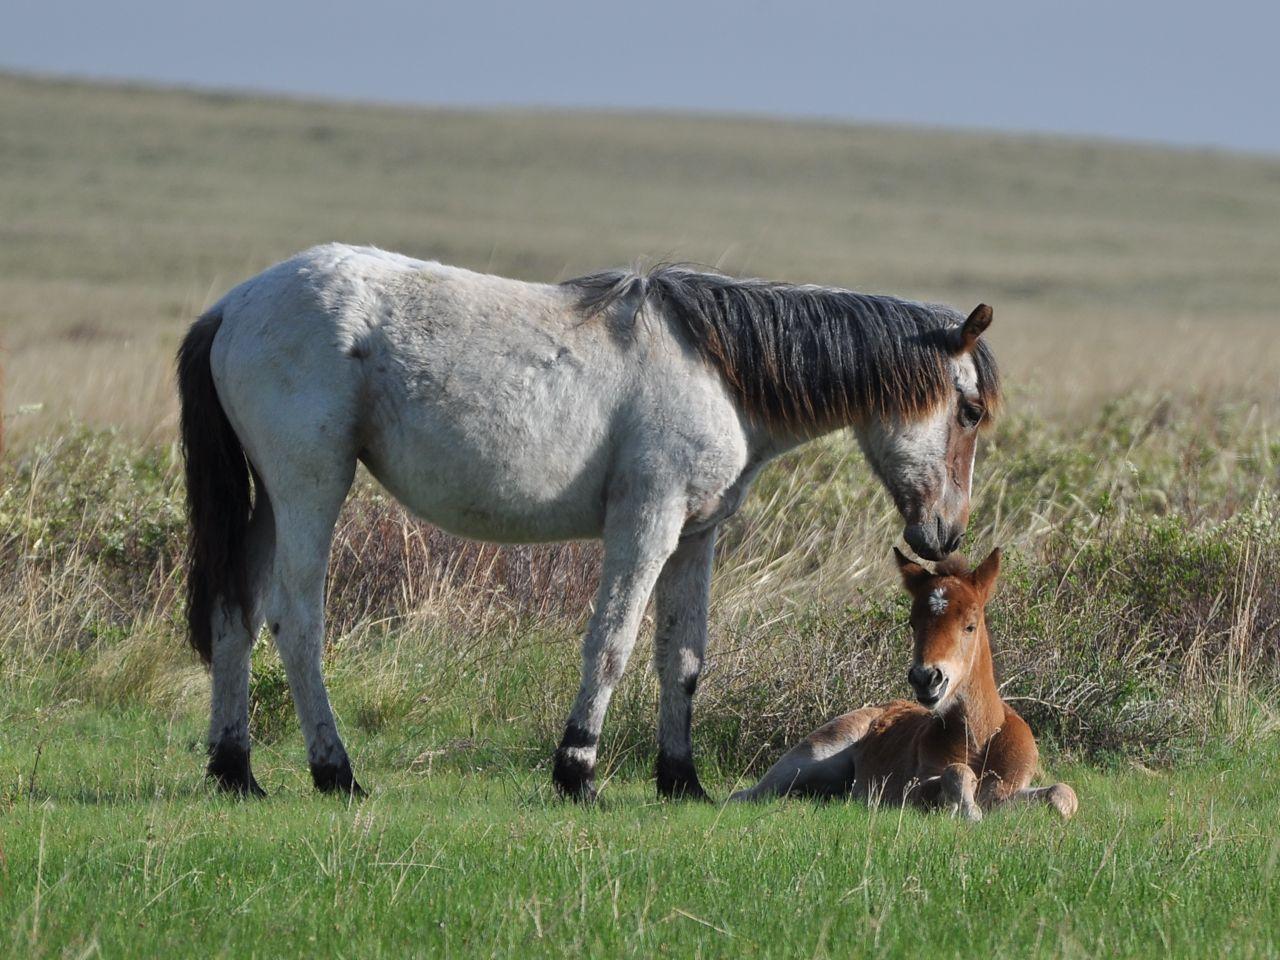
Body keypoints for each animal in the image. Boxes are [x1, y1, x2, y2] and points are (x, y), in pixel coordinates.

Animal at [180, 244, 998, 798]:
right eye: (969, 409)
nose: (945, 536)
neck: (719, 372)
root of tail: (234, 305)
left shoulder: (694, 538)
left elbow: (682, 659)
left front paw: (681, 781)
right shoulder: (647, 524)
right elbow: (612, 644)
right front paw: (576, 772)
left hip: (267, 502)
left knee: (235, 616)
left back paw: (236, 771)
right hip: (309, 489)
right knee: (295, 622)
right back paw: (335, 771)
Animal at [737, 547, 1075, 819]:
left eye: (970, 625)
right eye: (913, 623)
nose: (926, 678)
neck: (979, 739)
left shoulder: (1009, 789)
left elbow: (1061, 792)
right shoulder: (910, 790)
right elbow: (955, 772)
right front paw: (969, 813)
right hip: (810, 756)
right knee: (747, 793)